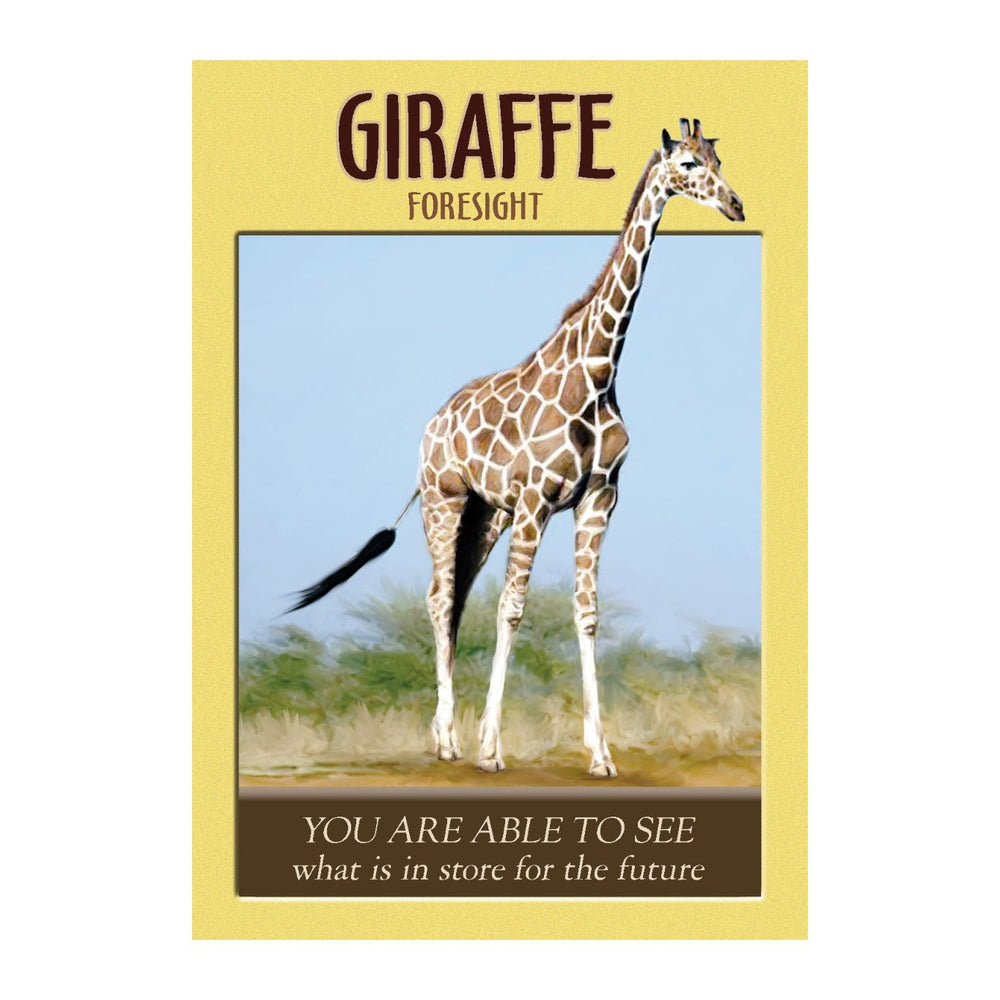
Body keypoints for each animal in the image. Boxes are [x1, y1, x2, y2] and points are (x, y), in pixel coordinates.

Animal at [289, 118, 744, 776]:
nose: (736, 205)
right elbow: (512, 608)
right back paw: (450, 742)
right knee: (439, 598)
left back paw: (442, 734)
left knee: (449, 597)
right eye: (686, 164)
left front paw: (600, 756)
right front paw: (489, 749)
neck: (599, 371)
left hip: (486, 515)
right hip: (446, 503)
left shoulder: (599, 498)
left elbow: (585, 612)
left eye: (718, 159)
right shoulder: (536, 499)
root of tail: (430, 428)